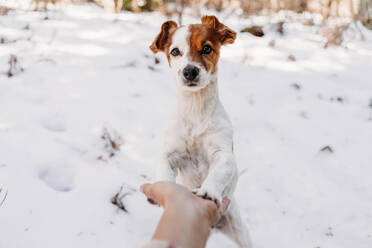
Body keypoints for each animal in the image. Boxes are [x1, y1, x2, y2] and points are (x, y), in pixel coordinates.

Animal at [151, 16, 253, 248]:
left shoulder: (223, 154)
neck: (195, 108)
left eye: (207, 48)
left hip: (241, 232)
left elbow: (217, 173)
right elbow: (163, 167)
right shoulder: (171, 153)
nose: (190, 71)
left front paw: (208, 191)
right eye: (175, 51)